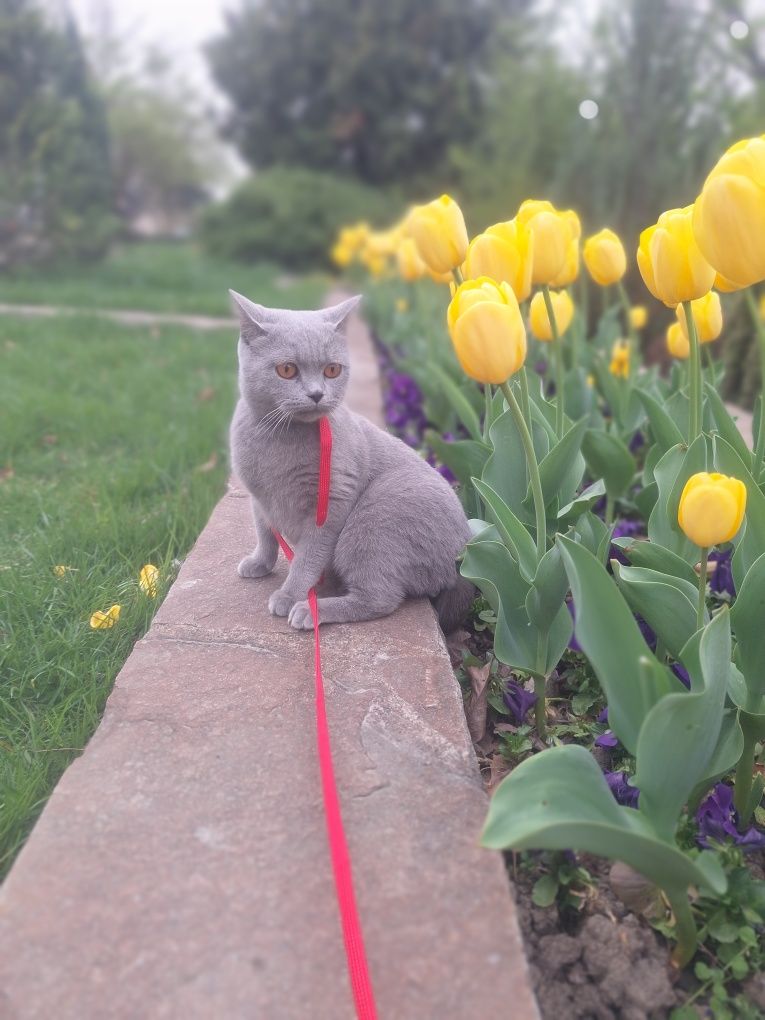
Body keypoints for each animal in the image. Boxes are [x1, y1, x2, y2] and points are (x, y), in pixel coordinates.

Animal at [230, 287, 477, 632]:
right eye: (287, 370)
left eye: (332, 370)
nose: (317, 394)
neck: (278, 436)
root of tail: (461, 558)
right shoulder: (259, 498)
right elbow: (265, 534)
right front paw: (259, 563)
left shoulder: (330, 503)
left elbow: (307, 557)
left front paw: (289, 595)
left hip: (376, 520)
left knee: (380, 599)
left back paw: (311, 611)